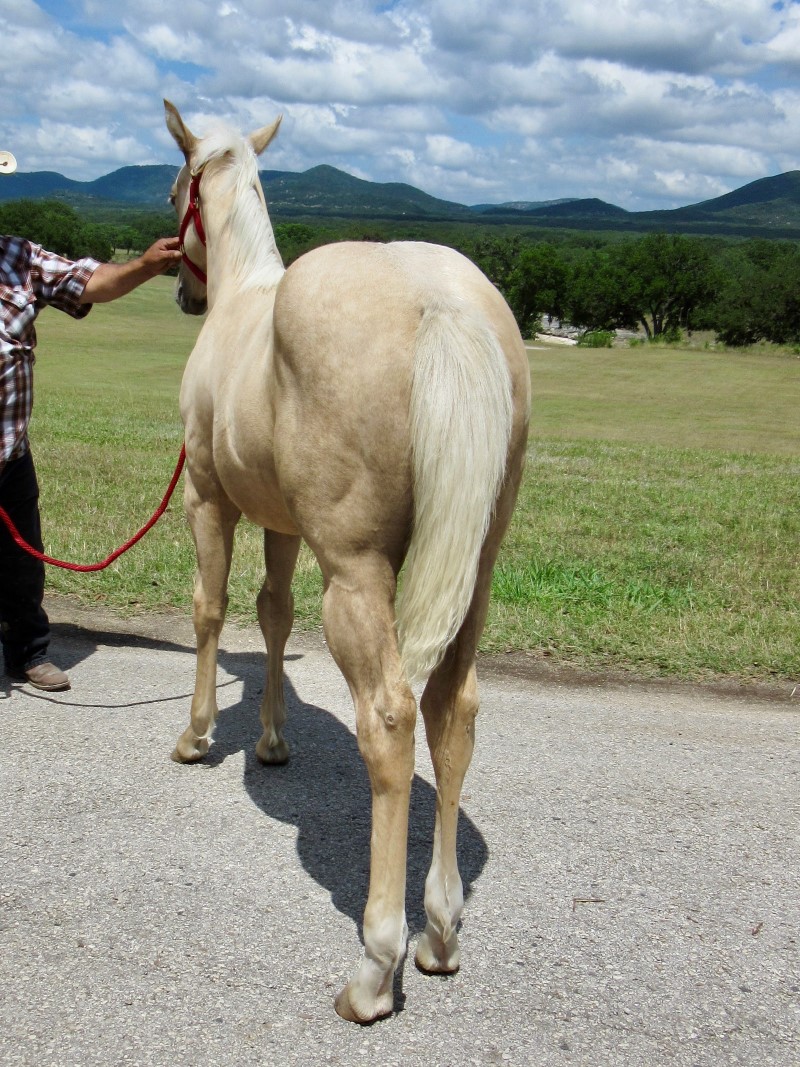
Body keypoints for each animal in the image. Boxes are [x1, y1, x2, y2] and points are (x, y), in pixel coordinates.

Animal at [165, 101, 529, 1024]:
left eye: (176, 188)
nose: (184, 291)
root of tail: (443, 302)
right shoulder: (281, 524)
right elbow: (272, 613)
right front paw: (270, 740)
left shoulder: (209, 502)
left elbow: (210, 609)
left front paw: (197, 734)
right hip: (475, 573)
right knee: (453, 711)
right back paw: (439, 932)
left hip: (357, 576)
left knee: (392, 721)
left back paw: (377, 962)